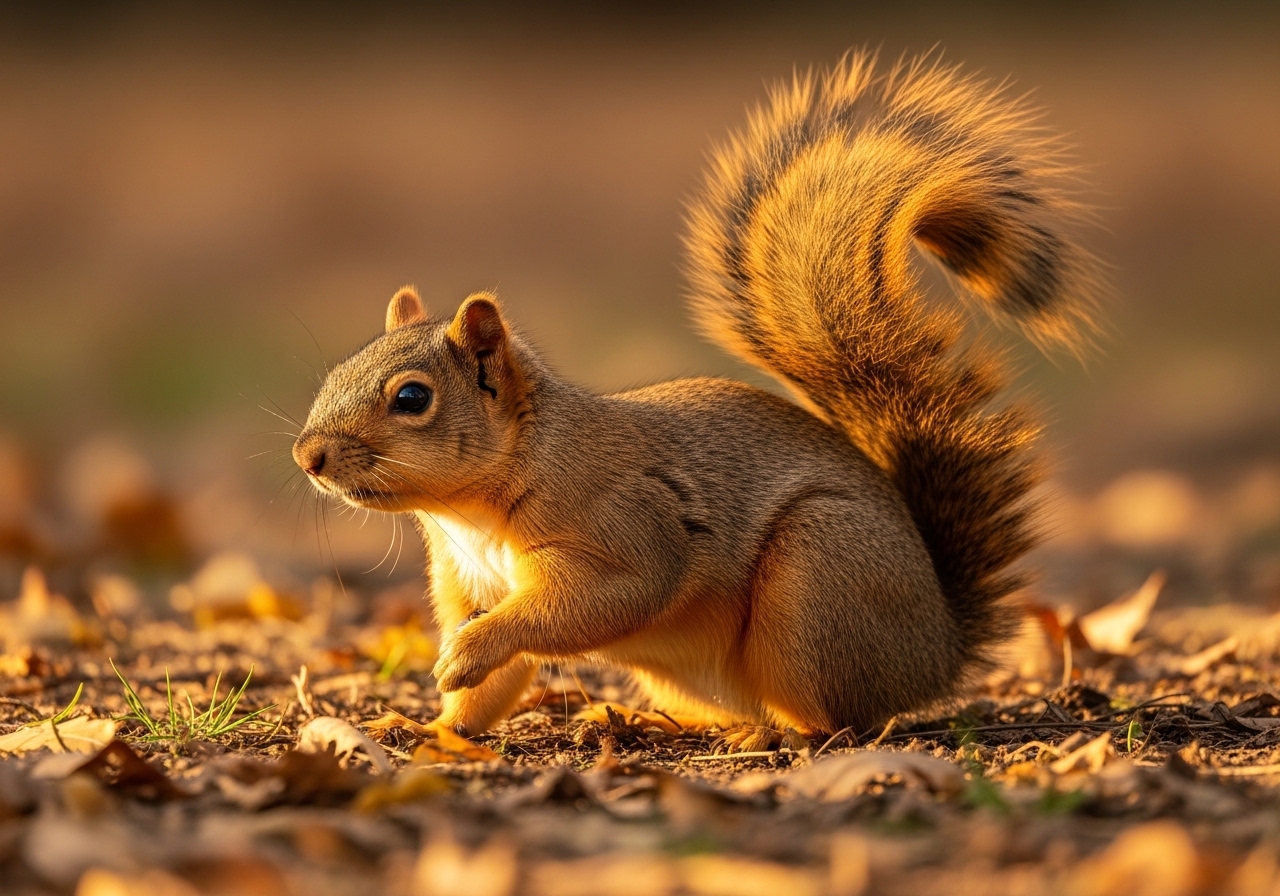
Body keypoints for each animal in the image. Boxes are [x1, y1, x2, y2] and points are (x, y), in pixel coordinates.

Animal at [292, 52, 1098, 748]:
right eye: (333, 375)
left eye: (412, 397)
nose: (308, 457)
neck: (472, 512)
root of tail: (939, 646)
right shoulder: (465, 581)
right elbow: (490, 691)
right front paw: (427, 726)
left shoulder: (628, 524)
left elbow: (599, 600)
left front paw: (461, 657)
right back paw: (641, 719)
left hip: (817, 581)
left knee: (833, 721)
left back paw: (766, 733)